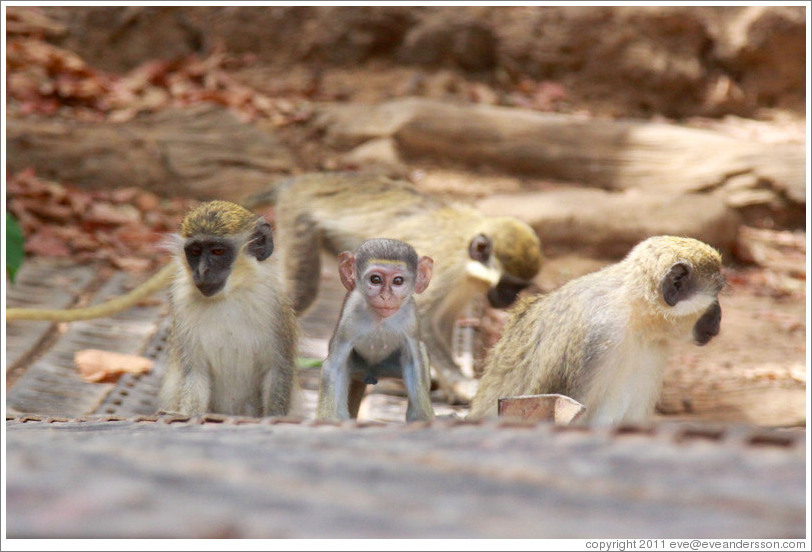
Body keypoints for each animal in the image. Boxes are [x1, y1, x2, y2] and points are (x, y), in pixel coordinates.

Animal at [157, 201, 300, 416]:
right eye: (195, 252)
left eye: (218, 251)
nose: (202, 271)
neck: (229, 294)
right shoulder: (181, 303)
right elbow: (195, 372)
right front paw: (186, 414)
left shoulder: (274, 305)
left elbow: (278, 369)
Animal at [316, 237, 438, 422]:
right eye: (375, 279)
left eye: (398, 281)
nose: (385, 297)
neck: (380, 319)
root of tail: (372, 372)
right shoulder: (350, 319)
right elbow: (334, 366)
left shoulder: (411, 319)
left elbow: (413, 364)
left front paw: (423, 418)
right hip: (358, 367)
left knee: (421, 352)